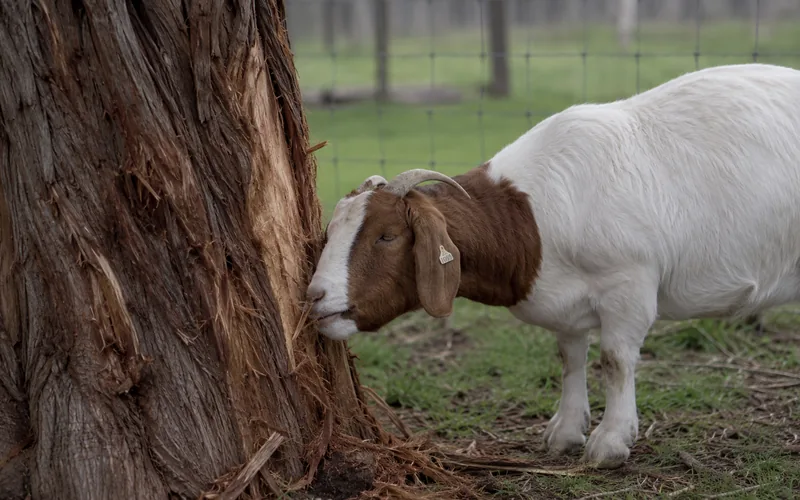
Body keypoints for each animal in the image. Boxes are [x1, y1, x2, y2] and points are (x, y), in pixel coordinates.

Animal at [306, 63, 800, 469]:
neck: (530, 218)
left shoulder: (629, 284)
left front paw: (610, 442)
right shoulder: (568, 300)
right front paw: (565, 432)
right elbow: (570, 357)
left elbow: (615, 360)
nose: (314, 296)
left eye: (387, 235)